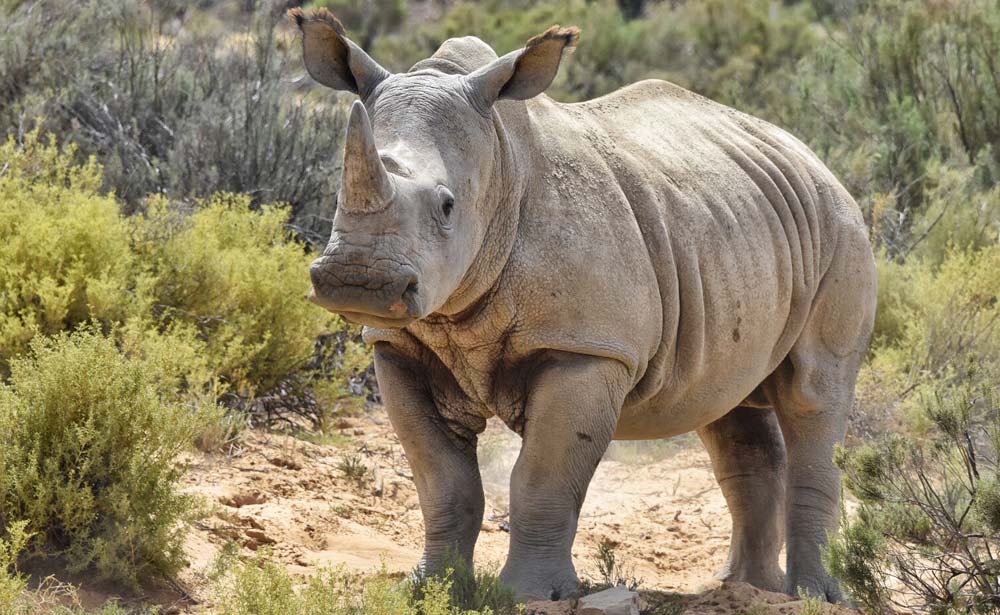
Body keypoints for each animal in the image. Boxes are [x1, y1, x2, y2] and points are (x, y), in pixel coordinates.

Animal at [292, 8, 877, 603]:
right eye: (335, 195)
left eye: (448, 206)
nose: (357, 282)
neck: (500, 164)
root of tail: (810, 156)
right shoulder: (399, 346)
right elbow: (442, 481)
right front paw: (431, 589)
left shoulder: (585, 348)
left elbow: (542, 476)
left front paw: (528, 595)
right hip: (740, 225)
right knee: (726, 406)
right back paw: (743, 588)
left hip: (840, 229)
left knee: (813, 394)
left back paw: (812, 596)